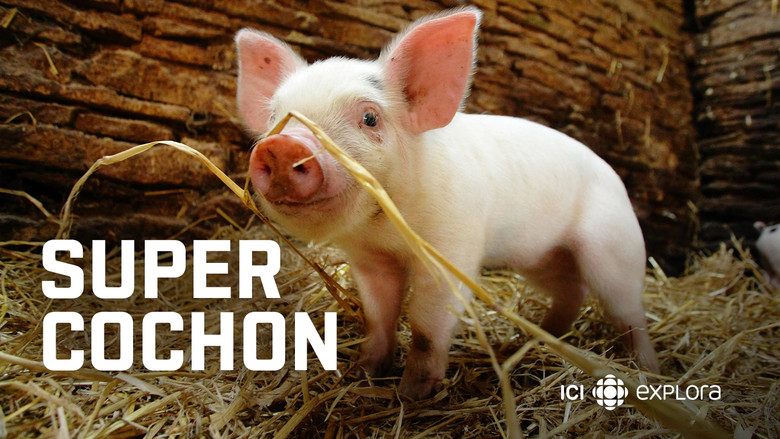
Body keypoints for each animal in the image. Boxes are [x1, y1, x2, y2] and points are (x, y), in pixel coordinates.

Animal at [235, 7, 659, 399]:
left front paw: (412, 394)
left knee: (628, 309)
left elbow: (426, 323)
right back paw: (539, 338)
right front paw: (365, 372)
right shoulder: (369, 258)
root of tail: (615, 178)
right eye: (274, 117)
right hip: (543, 258)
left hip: (612, 247)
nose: (281, 146)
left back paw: (647, 368)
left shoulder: (451, 247)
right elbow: (378, 315)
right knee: (572, 291)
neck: (386, 229)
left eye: (370, 118)